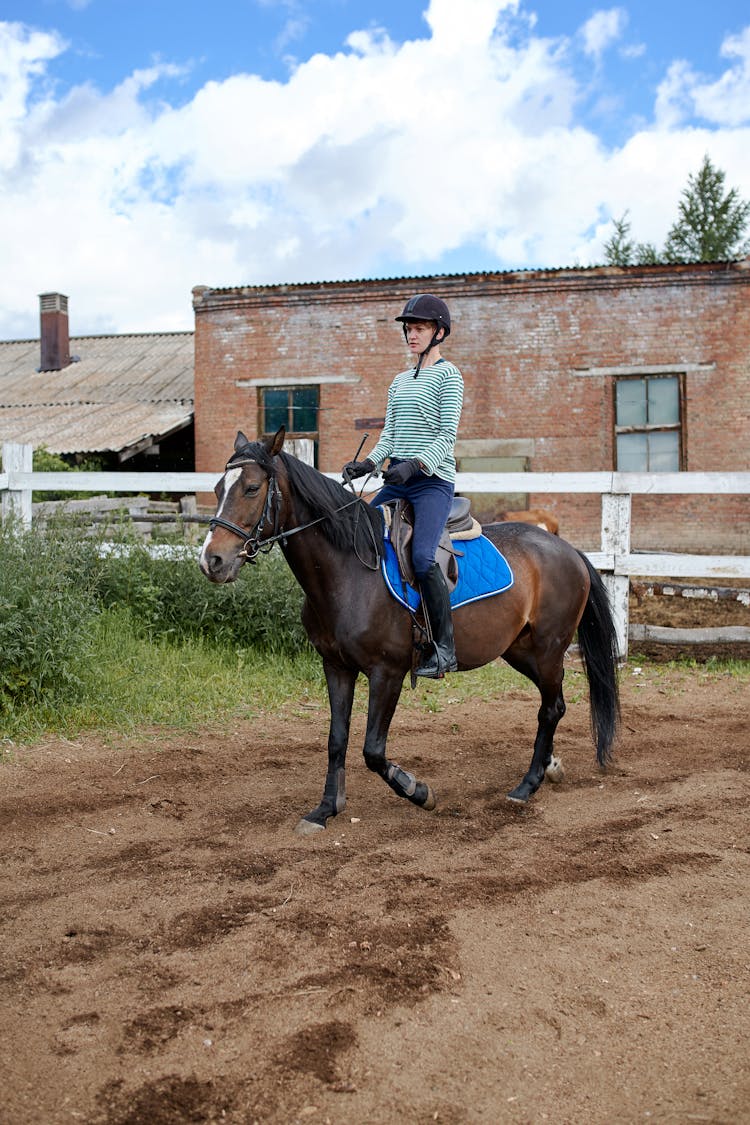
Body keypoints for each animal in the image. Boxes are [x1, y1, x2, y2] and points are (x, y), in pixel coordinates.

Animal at [199, 427, 620, 837]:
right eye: (218, 488)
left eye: (252, 488)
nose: (211, 561)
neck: (350, 571)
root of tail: (567, 549)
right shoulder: (336, 666)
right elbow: (337, 739)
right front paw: (325, 810)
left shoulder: (388, 673)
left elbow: (372, 749)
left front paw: (419, 791)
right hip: (520, 650)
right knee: (555, 704)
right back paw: (549, 768)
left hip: (548, 649)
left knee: (550, 708)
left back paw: (526, 785)